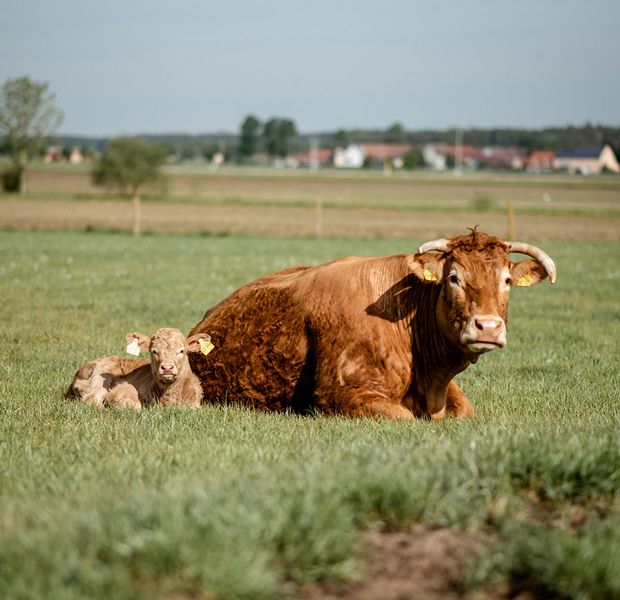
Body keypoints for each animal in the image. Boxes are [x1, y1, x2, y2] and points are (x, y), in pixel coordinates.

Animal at [65, 326, 211, 410]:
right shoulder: (122, 390)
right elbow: (134, 406)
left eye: (182, 351)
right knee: (91, 399)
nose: (167, 368)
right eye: (154, 351)